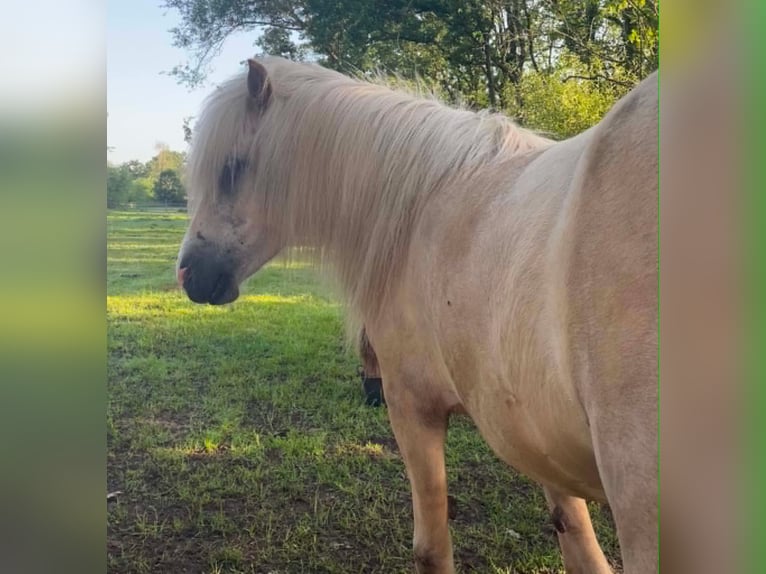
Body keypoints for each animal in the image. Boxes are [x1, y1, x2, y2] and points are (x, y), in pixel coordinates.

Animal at [176, 56, 657, 573]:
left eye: (231, 169)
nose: (187, 273)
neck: (425, 202)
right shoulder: (535, 432)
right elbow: (576, 540)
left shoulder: (412, 405)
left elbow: (431, 548)